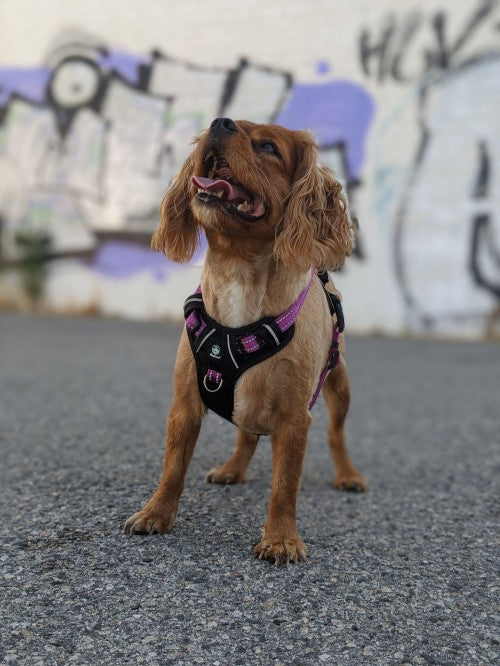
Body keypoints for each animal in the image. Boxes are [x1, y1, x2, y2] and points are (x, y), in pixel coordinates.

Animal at [125, 118, 368, 560]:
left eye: (269, 147)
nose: (219, 122)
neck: (239, 271)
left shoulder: (294, 416)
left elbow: (284, 487)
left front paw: (281, 538)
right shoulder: (185, 402)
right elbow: (172, 468)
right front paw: (155, 513)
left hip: (339, 385)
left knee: (336, 435)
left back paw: (348, 474)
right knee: (246, 433)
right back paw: (233, 469)